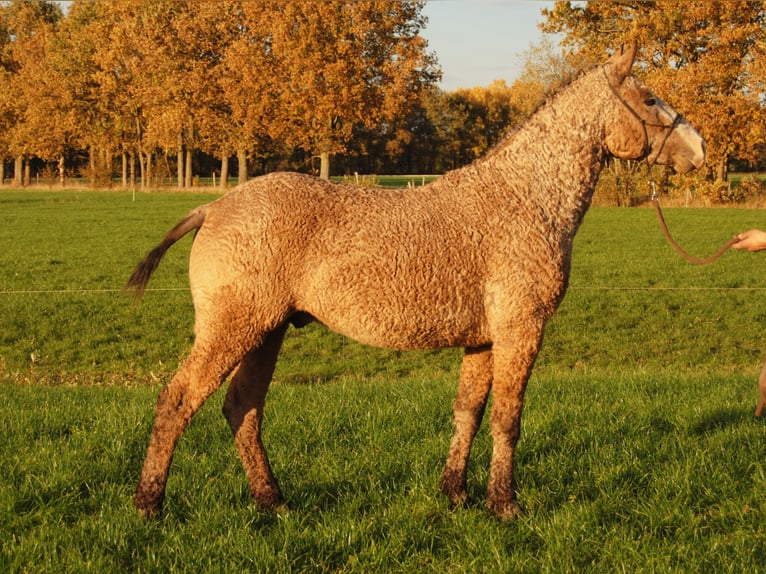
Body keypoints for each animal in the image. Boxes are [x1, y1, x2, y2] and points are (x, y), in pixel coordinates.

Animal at [128, 44, 705, 519]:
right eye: (650, 99)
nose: (698, 148)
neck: (526, 198)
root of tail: (213, 207)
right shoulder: (521, 331)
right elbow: (507, 418)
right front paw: (505, 505)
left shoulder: (483, 340)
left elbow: (468, 412)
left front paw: (457, 494)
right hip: (233, 330)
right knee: (178, 401)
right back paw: (150, 505)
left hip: (265, 333)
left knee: (242, 409)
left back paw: (273, 502)